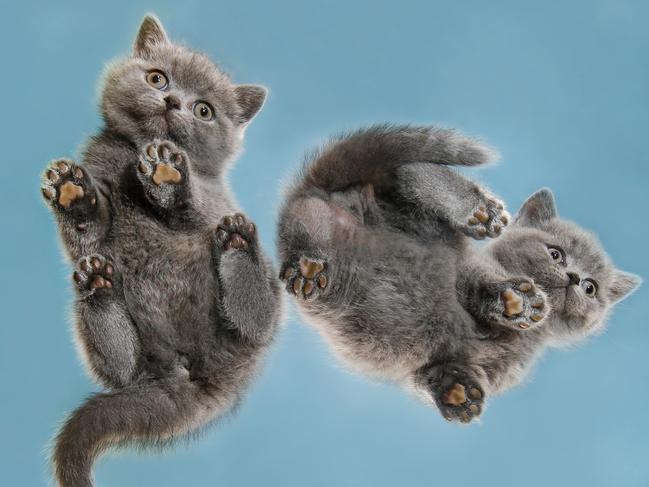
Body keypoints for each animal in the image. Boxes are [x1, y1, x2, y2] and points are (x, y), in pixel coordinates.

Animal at [40, 15, 278, 487]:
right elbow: (87, 233)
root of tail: (196, 378)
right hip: (129, 357)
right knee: (120, 366)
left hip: (260, 315)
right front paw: (72, 193)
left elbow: (191, 209)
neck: (131, 156)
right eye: (157, 78)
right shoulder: (93, 220)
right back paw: (98, 286)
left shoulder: (211, 198)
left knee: (255, 320)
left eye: (203, 110)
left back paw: (237, 244)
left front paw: (166, 173)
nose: (172, 101)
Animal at [278, 125, 636, 424]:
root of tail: (320, 188)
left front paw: (457, 394)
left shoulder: (444, 362)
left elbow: (428, 373)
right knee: (410, 173)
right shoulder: (467, 267)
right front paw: (516, 302)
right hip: (411, 218)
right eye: (556, 254)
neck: (528, 338)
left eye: (591, 288)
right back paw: (480, 212)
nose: (574, 277)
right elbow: (477, 284)